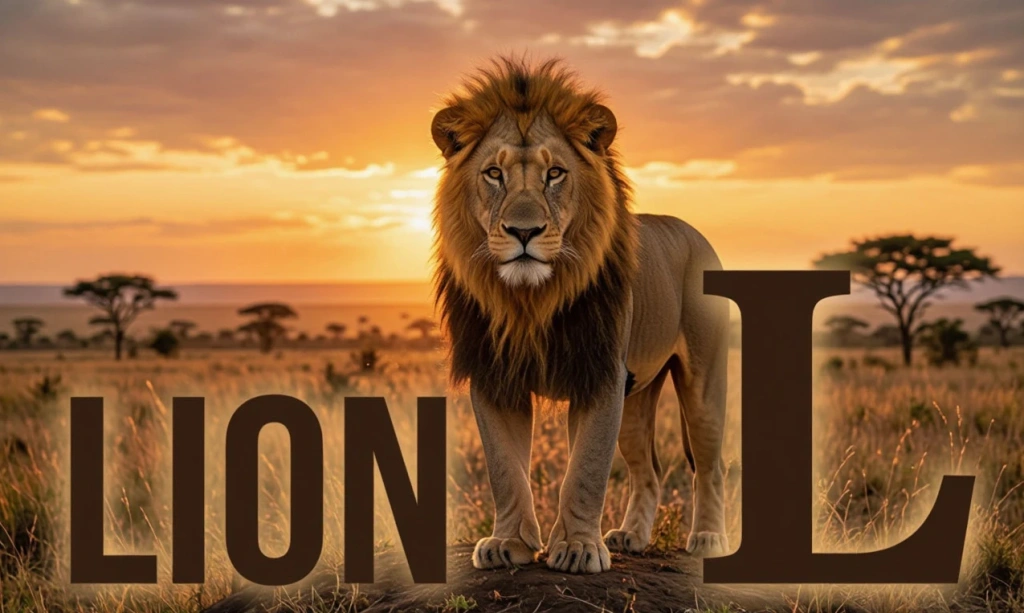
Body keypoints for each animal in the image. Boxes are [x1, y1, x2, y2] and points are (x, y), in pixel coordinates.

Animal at [431, 58, 730, 574]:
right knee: (648, 470)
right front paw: (508, 543)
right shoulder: (494, 377)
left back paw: (709, 538)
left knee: (709, 466)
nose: (524, 231)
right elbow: (505, 469)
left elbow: (585, 470)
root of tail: (693, 231)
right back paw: (632, 537)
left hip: (703, 385)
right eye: (494, 173)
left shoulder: (601, 375)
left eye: (555, 173)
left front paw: (576, 548)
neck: (529, 301)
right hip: (637, 396)